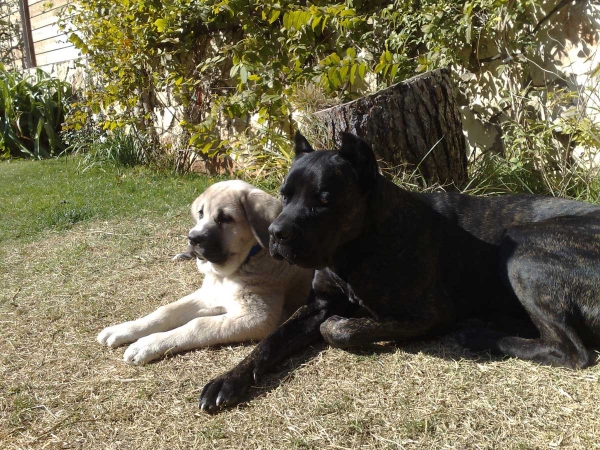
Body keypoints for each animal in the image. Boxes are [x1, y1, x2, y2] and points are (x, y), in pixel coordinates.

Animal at [96, 179, 312, 366]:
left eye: (226, 219)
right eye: (200, 213)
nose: (192, 238)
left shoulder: (259, 317)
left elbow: (198, 324)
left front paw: (147, 344)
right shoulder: (209, 295)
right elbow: (166, 310)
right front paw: (124, 329)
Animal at [199, 132, 600, 414]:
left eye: (324, 199)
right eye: (284, 195)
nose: (275, 233)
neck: (356, 249)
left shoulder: (429, 313)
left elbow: (343, 329)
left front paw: (346, 325)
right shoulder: (319, 303)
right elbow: (271, 341)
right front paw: (227, 380)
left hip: (521, 246)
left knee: (571, 351)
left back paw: (480, 335)